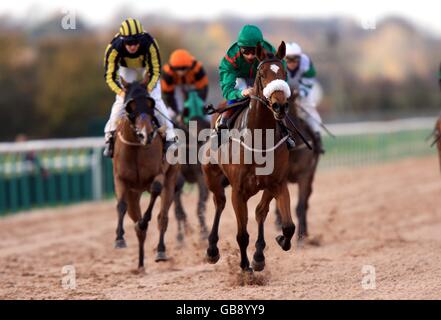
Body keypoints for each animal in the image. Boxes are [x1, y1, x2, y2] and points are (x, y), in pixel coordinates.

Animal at [111, 77, 179, 270]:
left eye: (151, 104)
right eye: (130, 106)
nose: (145, 134)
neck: (136, 149)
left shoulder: (160, 174)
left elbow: (155, 190)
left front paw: (143, 223)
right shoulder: (121, 179)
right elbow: (121, 206)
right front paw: (119, 239)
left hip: (171, 180)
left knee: (162, 217)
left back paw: (160, 251)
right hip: (134, 194)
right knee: (135, 219)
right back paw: (140, 264)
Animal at [201, 42, 294, 272]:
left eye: (285, 73)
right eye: (262, 74)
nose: (279, 106)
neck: (260, 140)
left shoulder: (278, 183)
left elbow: (288, 226)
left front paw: (278, 241)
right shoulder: (238, 191)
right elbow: (242, 235)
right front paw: (244, 268)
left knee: (260, 211)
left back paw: (259, 255)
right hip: (212, 177)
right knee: (219, 203)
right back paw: (212, 250)